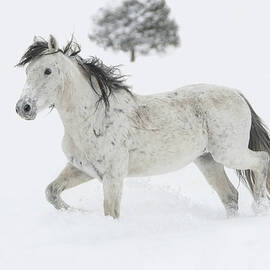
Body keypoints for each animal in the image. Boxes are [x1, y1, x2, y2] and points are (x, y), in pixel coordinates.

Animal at [15, 35, 270, 218]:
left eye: (48, 71)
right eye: (27, 71)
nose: (23, 107)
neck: (92, 118)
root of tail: (236, 93)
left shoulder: (113, 176)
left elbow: (111, 213)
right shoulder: (83, 169)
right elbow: (52, 192)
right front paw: (80, 214)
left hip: (228, 153)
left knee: (261, 160)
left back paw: (259, 207)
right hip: (207, 160)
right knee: (230, 196)